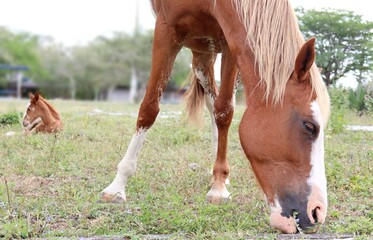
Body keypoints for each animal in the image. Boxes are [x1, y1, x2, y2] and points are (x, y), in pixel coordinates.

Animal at [100, 0, 330, 233]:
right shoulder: (166, 29)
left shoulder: (229, 42)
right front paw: (117, 185)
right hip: (201, 53)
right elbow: (149, 108)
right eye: (310, 126)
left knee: (217, 106)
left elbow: (224, 112)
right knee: (211, 102)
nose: (317, 212)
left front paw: (219, 184)